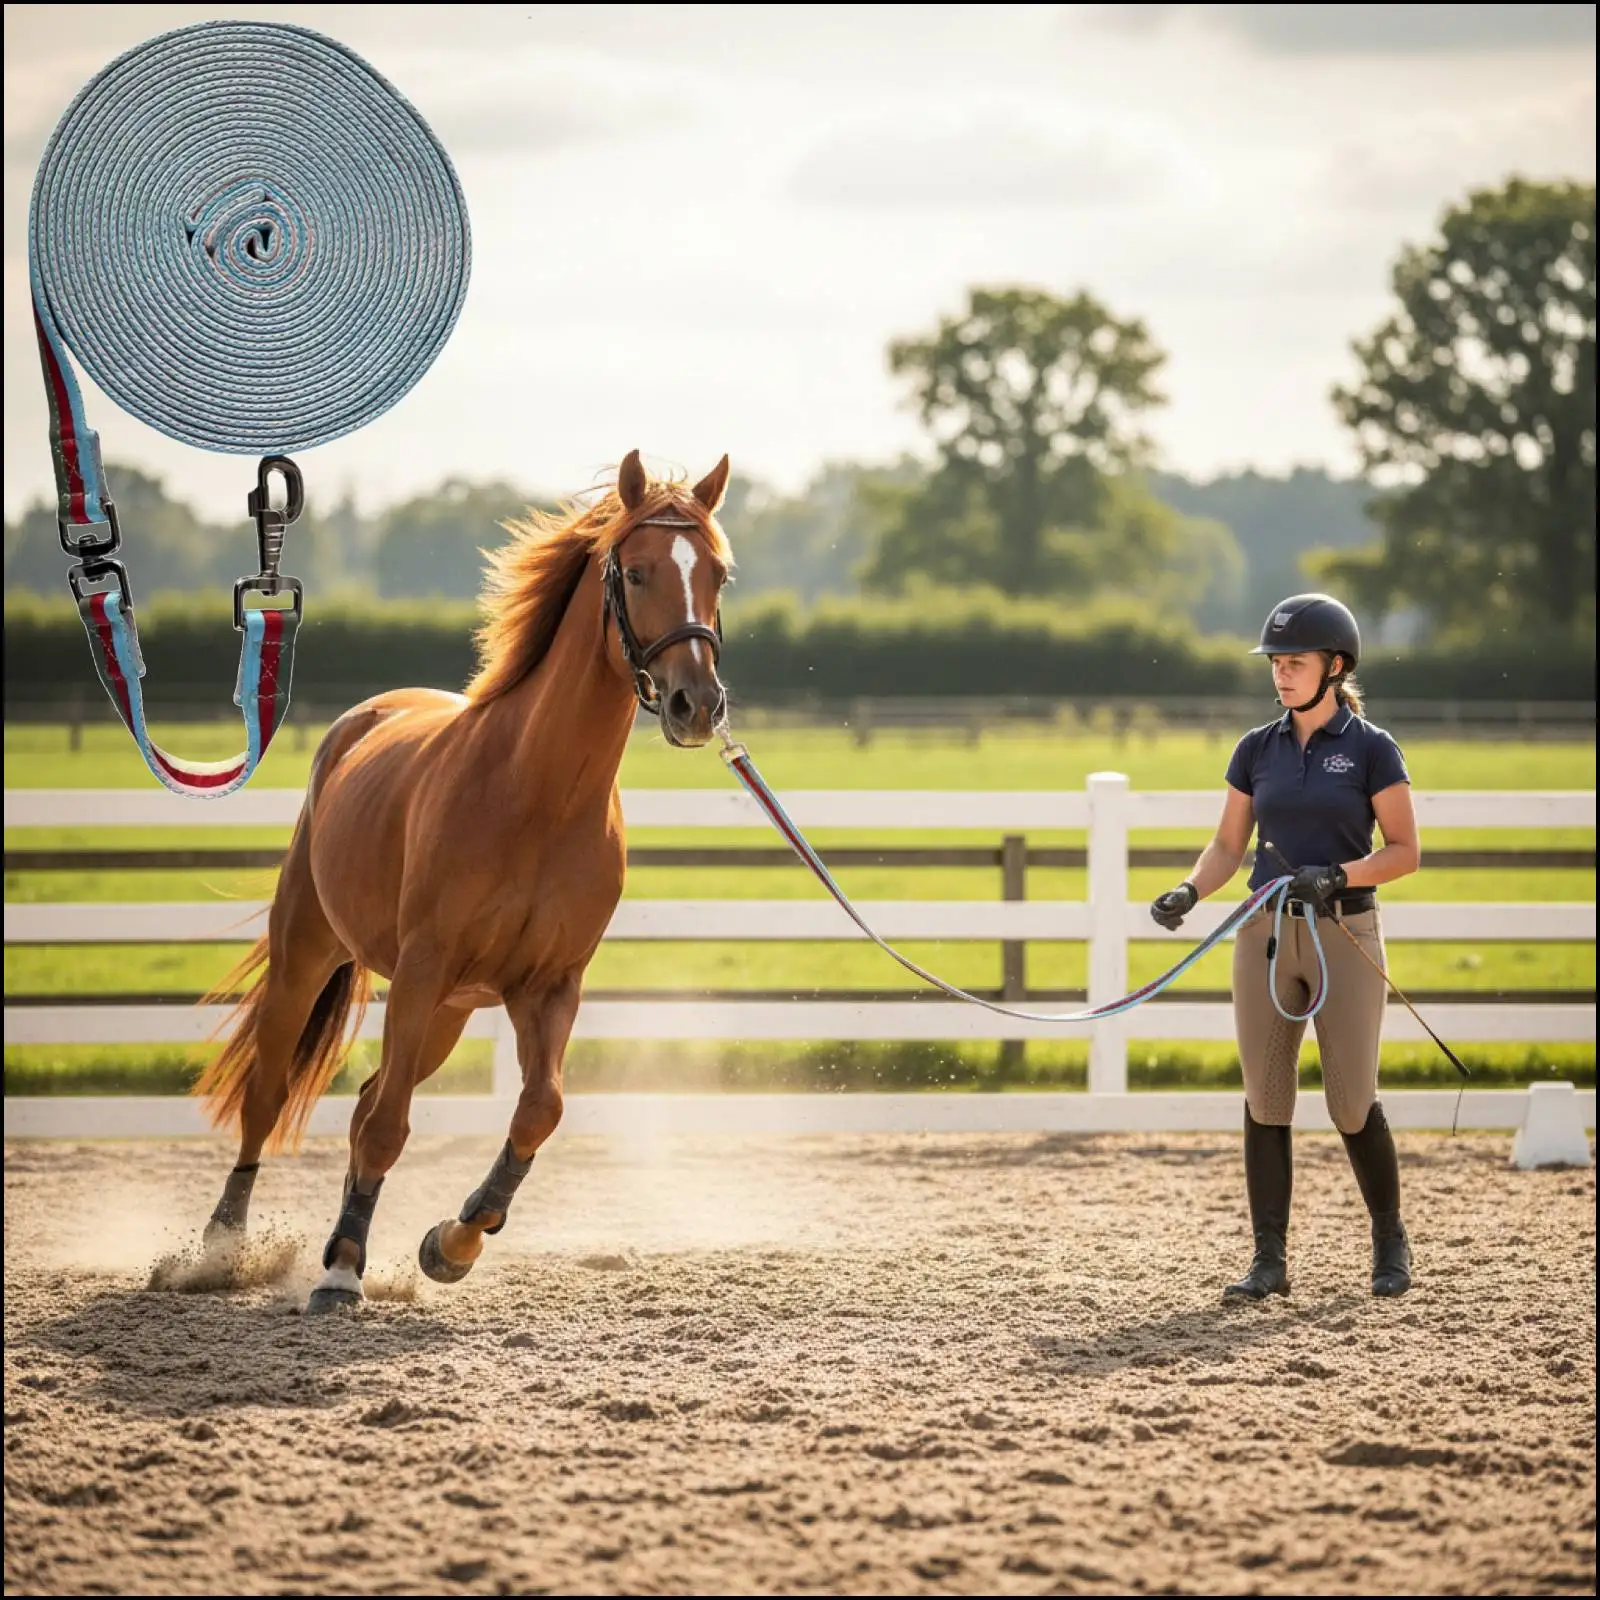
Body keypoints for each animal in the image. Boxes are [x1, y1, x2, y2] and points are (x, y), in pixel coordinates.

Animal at [194, 449, 733, 1313]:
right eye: (638, 570)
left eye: (718, 572)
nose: (697, 704)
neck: (537, 792)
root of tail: (360, 721)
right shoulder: (423, 969)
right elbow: (389, 1124)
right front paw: (340, 1274)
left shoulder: (548, 986)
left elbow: (539, 1109)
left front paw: (456, 1239)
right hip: (310, 962)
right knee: (272, 1095)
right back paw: (226, 1246)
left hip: (447, 1013)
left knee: (373, 1099)